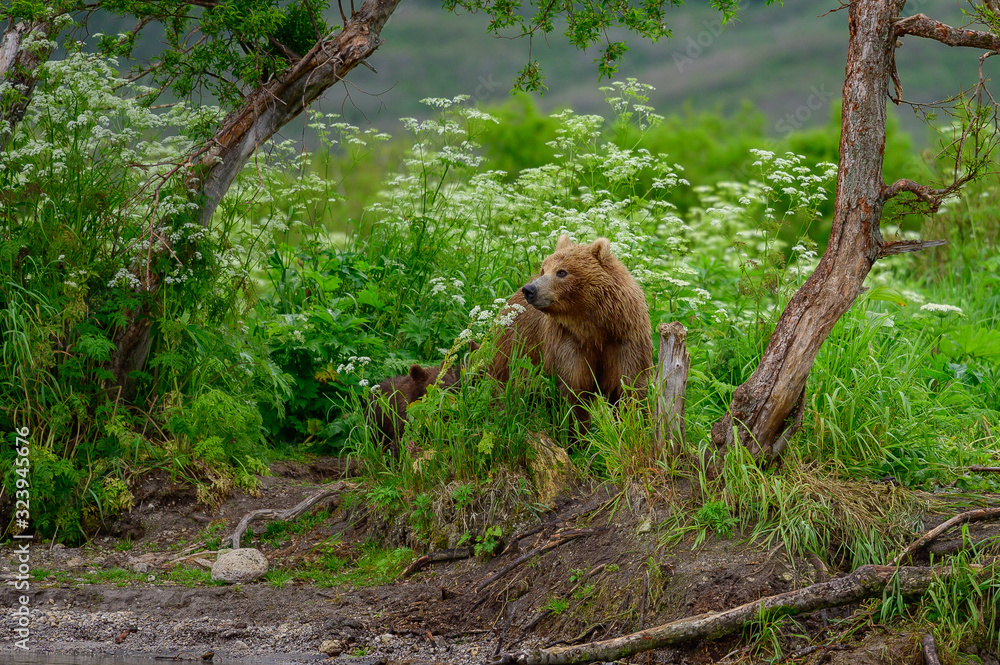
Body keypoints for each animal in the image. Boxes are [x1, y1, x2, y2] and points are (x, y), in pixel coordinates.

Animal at [492, 234, 653, 410]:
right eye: (543, 270)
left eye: (561, 272)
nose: (529, 290)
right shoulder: (566, 342)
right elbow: (573, 390)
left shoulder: (625, 341)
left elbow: (629, 388)